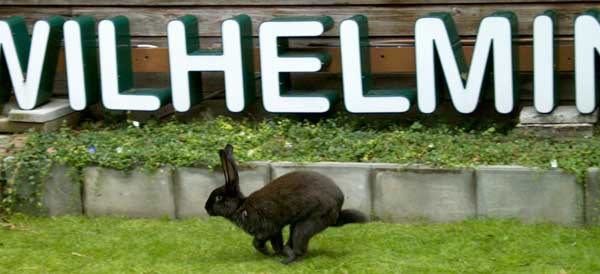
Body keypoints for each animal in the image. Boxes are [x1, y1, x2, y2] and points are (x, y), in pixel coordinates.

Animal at [204, 144, 368, 264]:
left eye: (218, 198)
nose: (206, 208)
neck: (241, 207)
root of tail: (337, 211)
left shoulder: (267, 229)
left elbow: (257, 242)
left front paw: (268, 252)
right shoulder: (275, 230)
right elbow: (276, 243)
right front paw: (275, 252)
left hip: (307, 224)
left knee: (300, 246)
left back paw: (288, 261)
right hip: (296, 225)